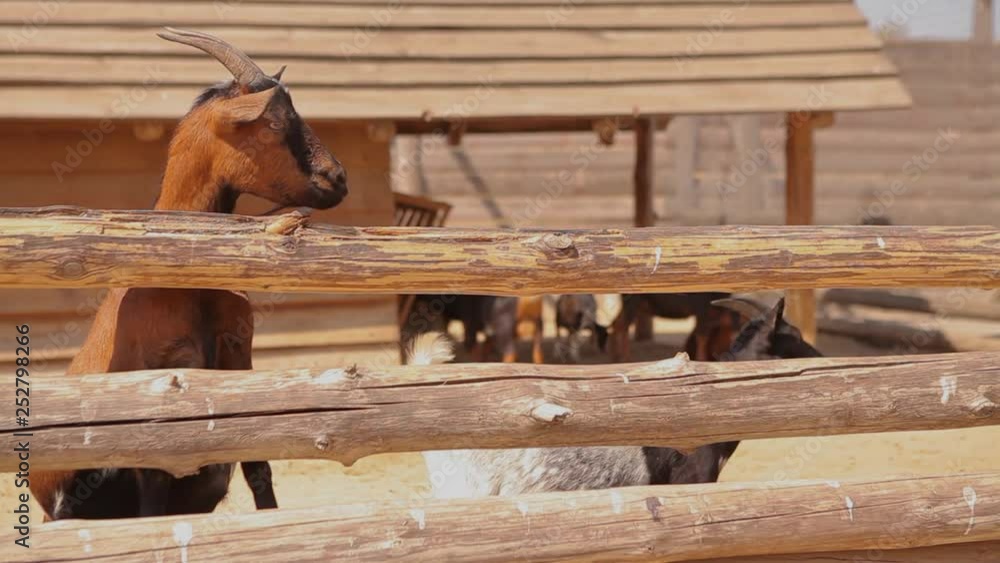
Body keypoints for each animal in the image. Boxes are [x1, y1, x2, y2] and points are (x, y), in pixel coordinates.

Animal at [31, 28, 348, 521]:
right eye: (275, 123)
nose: (338, 178)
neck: (187, 283)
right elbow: (155, 502)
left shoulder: (240, 360)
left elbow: (260, 471)